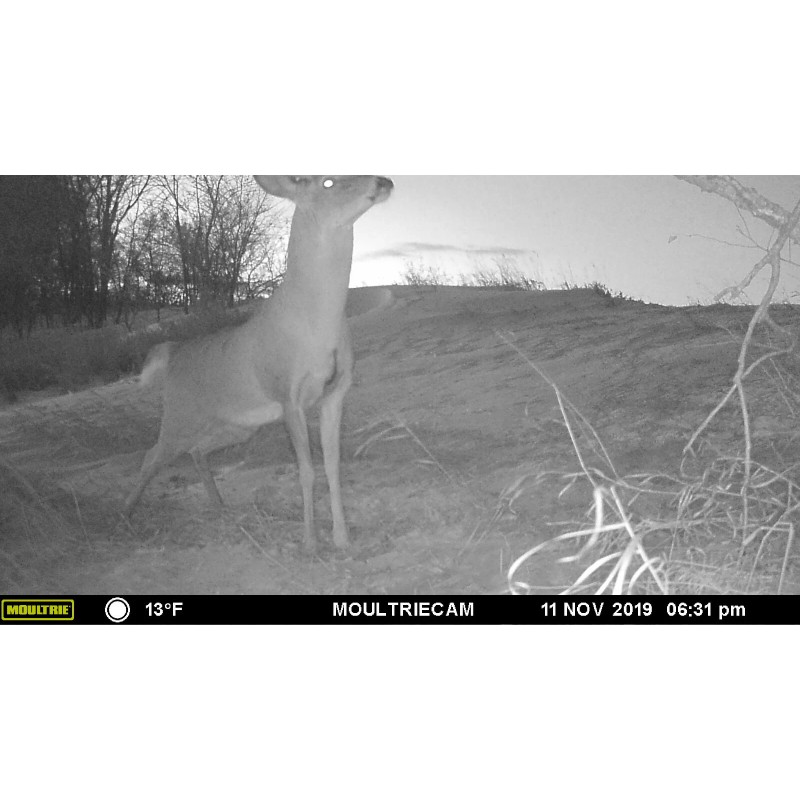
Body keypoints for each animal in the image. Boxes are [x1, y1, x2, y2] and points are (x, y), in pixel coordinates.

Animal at [124, 175, 394, 552]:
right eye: (327, 182)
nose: (383, 181)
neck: (317, 325)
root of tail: (175, 352)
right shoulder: (288, 395)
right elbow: (306, 471)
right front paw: (310, 542)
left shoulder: (336, 392)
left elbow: (332, 465)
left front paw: (342, 538)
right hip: (179, 415)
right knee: (152, 456)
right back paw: (123, 515)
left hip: (235, 425)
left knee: (196, 450)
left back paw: (219, 506)